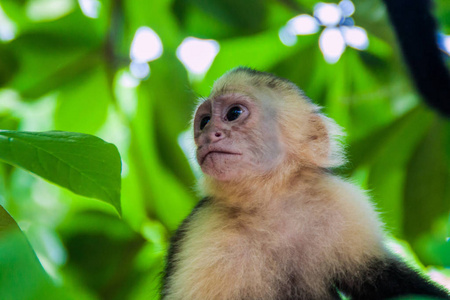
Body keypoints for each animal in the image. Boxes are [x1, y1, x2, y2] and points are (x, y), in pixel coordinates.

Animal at [160, 68, 448, 300]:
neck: (269, 203)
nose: (208, 135)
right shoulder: (203, 232)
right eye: (205, 121)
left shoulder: (343, 202)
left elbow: (384, 278)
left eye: (234, 113)